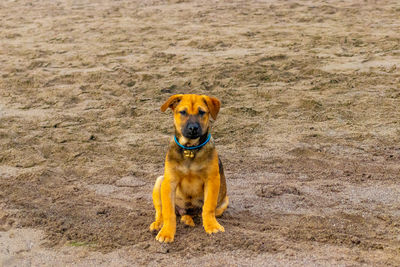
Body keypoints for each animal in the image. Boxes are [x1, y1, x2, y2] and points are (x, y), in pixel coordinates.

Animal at [149, 95, 228, 244]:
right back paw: (158, 224)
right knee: (161, 211)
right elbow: (168, 212)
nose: (193, 128)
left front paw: (212, 226)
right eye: (183, 112)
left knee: (198, 213)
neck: (190, 150)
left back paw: (187, 220)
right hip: (159, 182)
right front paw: (167, 232)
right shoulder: (169, 182)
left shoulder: (212, 180)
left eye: (202, 112)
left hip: (224, 201)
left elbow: (208, 207)